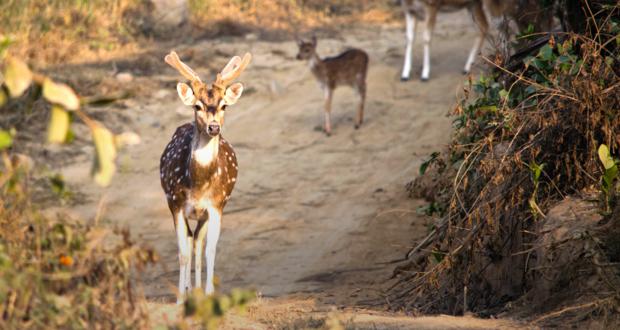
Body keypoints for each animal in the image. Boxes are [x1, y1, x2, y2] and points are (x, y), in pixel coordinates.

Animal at [160, 49, 252, 302]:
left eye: (224, 106)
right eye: (198, 106)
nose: (213, 127)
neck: (199, 185)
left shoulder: (217, 205)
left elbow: (210, 249)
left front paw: (210, 294)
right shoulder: (175, 204)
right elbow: (181, 252)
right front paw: (180, 298)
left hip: (206, 213)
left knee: (198, 242)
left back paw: (199, 290)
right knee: (191, 241)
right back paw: (190, 290)